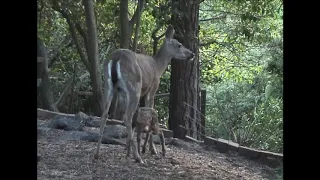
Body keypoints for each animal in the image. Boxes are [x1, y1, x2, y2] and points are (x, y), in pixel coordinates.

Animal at [94, 25, 195, 163]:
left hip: (109, 85)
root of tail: (116, 58)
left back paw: (97, 154)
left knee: (105, 114)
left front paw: (128, 149)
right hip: (135, 86)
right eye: (179, 45)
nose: (192, 54)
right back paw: (138, 157)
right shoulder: (152, 90)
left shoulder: (122, 93)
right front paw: (151, 150)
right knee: (127, 116)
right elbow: (150, 112)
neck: (158, 67)